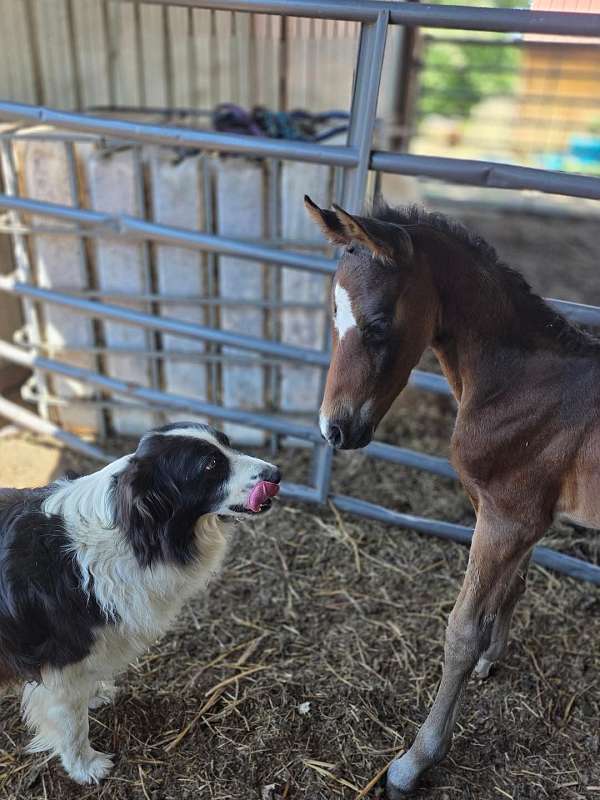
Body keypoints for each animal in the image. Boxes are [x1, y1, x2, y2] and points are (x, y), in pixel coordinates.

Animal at [304, 195, 600, 796]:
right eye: (333, 317)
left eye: (377, 325)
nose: (333, 430)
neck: (525, 383)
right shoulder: (518, 516)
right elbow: (513, 588)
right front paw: (492, 660)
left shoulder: (508, 515)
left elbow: (460, 631)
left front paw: (414, 762)